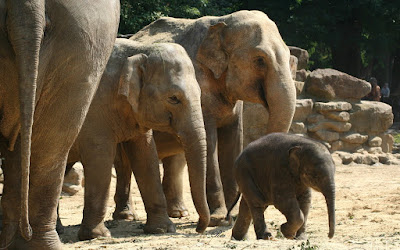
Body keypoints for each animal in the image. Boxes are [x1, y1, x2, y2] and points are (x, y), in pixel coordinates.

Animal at [115, 9, 296, 225]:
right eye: (260, 59)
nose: (230, 215)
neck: (222, 22)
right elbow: (210, 142)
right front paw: (218, 218)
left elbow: (232, 140)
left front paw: (228, 217)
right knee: (123, 161)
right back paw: (126, 216)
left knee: (176, 160)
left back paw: (179, 213)